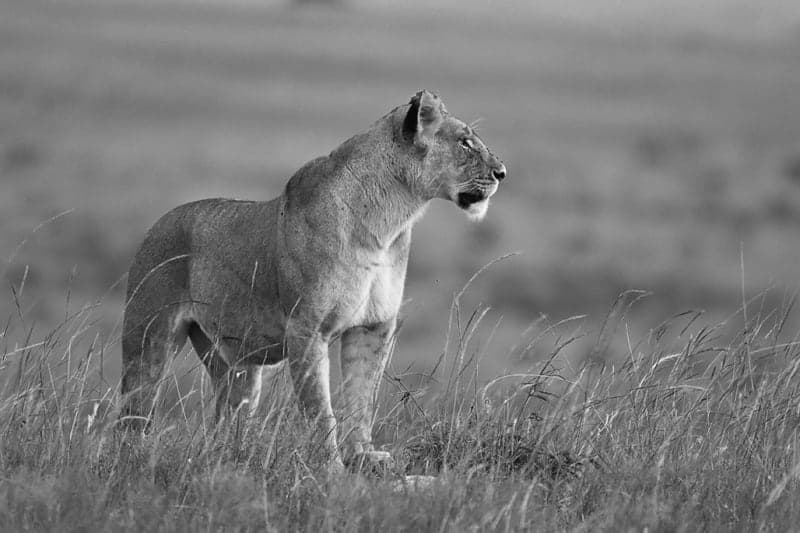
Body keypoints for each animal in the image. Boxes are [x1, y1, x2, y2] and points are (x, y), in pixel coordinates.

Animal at [119, 90, 506, 472]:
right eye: (465, 142)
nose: (502, 172)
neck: (389, 220)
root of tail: (159, 223)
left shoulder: (373, 326)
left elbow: (362, 398)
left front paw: (364, 456)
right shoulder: (306, 329)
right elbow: (320, 410)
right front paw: (330, 467)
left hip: (234, 365)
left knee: (226, 417)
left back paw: (228, 461)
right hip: (149, 340)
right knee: (133, 410)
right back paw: (133, 459)